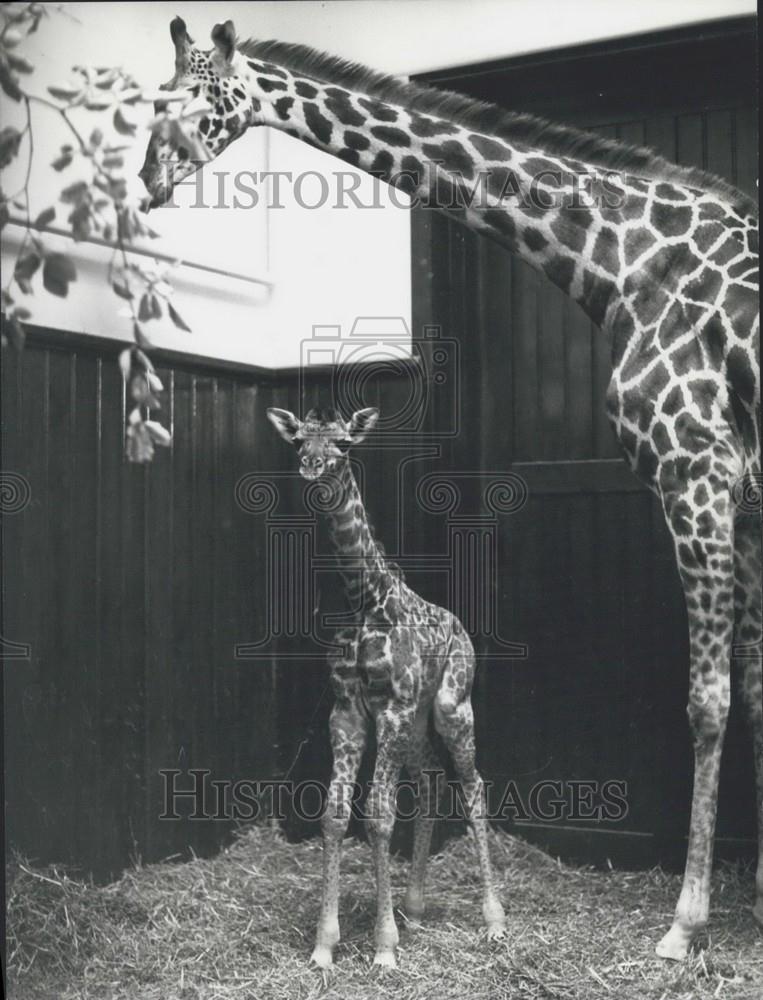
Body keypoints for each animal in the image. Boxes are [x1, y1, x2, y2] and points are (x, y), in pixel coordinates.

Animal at [268, 406, 508, 968]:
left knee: (473, 787)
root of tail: (462, 628)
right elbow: (335, 815)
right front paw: (324, 946)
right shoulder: (348, 709)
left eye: (343, 443)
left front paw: (384, 947)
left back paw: (493, 921)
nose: (312, 468)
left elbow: (378, 815)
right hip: (418, 722)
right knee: (431, 779)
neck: (362, 597)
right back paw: (415, 908)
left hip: (450, 706)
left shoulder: (392, 706)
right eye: (299, 443)